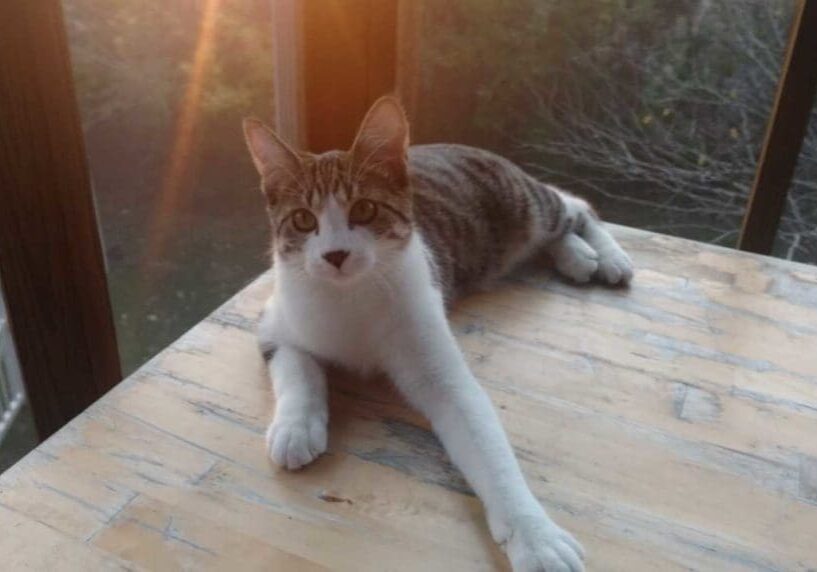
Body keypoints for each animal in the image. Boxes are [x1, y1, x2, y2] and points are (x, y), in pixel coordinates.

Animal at [242, 96, 632, 568]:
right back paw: (577, 256)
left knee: (573, 205)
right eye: (302, 220)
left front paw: (536, 536)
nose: (335, 255)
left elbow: (484, 442)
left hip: (522, 205)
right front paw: (296, 427)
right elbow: (296, 365)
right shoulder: (276, 318)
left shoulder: (434, 351)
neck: (350, 297)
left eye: (365, 210)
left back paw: (607, 255)